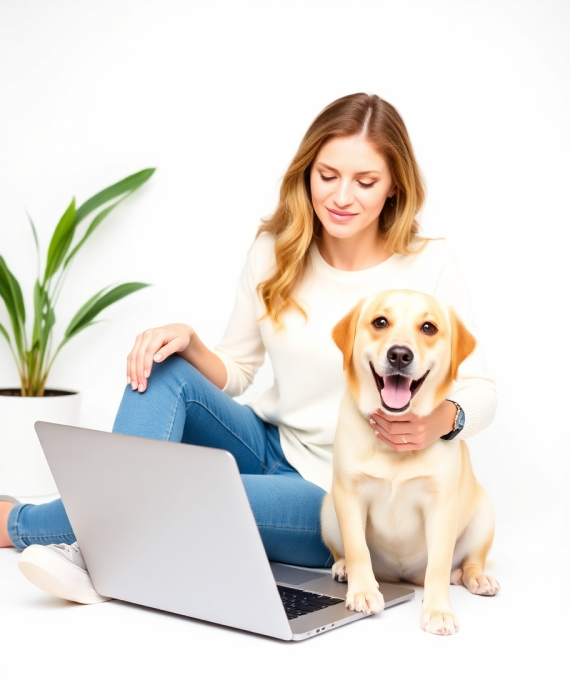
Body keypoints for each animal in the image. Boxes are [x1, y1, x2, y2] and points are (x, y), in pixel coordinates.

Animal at [320, 286, 496, 636]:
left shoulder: (441, 505)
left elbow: (439, 565)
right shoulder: (348, 493)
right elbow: (358, 549)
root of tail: (404, 577)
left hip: (484, 513)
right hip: (328, 509)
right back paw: (344, 569)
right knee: (344, 550)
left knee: (468, 562)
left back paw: (476, 578)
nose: (400, 355)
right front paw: (363, 591)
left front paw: (439, 611)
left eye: (428, 327)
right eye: (380, 322)